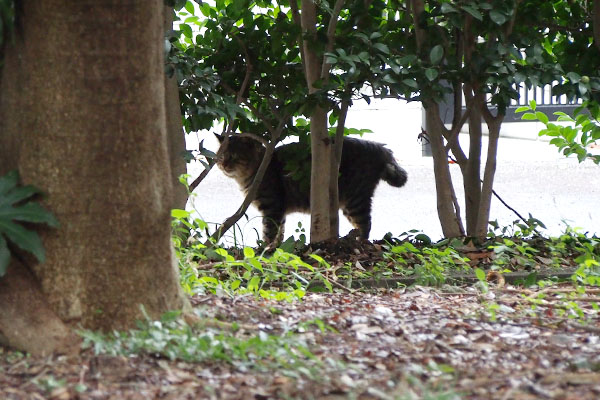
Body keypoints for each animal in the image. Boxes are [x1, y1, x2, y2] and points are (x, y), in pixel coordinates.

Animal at [216, 134, 408, 245]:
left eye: (233, 156)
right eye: (221, 156)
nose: (224, 165)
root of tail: (381, 148)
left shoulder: (272, 207)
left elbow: (268, 232)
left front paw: (264, 250)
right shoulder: (279, 211)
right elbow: (280, 233)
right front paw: (276, 248)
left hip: (356, 200)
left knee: (366, 224)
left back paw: (360, 243)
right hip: (348, 205)